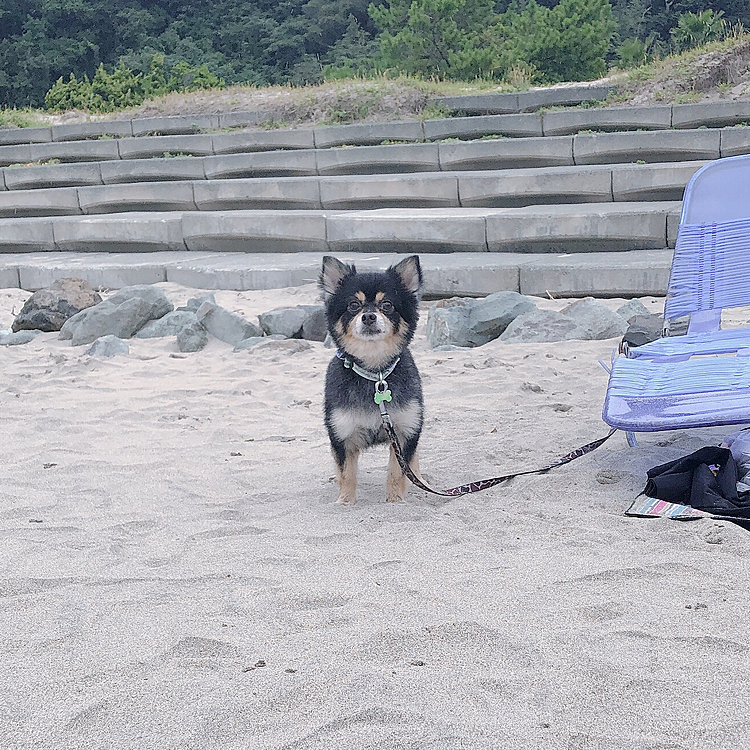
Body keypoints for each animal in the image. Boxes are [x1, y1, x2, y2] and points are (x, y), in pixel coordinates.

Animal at [320, 256, 426, 508]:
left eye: (387, 305)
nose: (369, 316)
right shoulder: (343, 436)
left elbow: (397, 474)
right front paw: (344, 503)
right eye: (353, 305)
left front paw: (396, 501)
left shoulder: (404, 432)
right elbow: (347, 475)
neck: (375, 373)